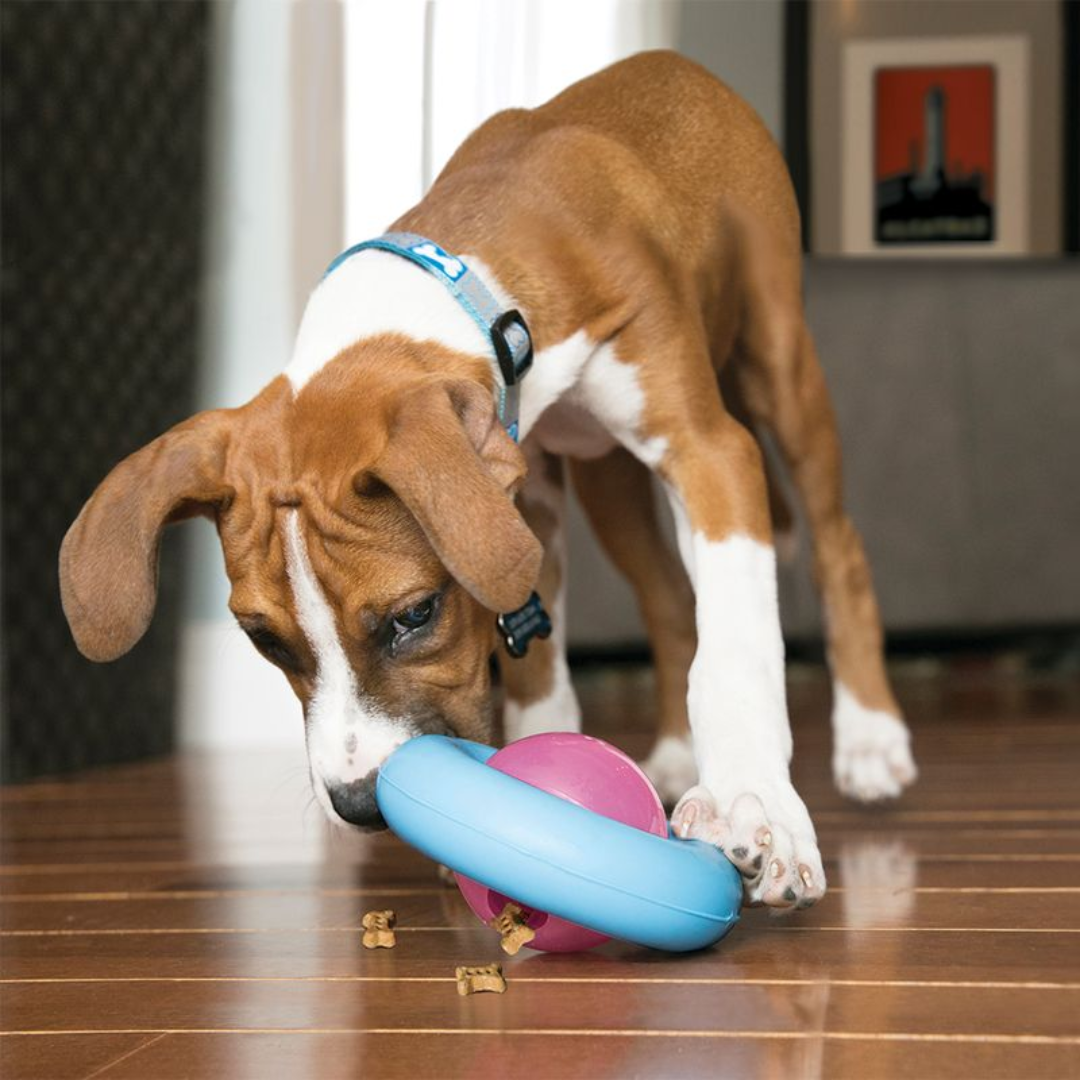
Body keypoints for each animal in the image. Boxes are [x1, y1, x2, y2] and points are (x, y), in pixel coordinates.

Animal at [63, 52, 915, 911]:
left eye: (415, 614)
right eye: (264, 640)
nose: (360, 804)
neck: (489, 300)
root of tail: (678, 67)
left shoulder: (709, 454)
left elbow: (736, 649)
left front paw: (756, 806)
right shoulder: (524, 497)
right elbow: (539, 653)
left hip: (780, 370)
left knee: (837, 547)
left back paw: (870, 736)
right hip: (607, 481)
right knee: (671, 597)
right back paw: (677, 753)